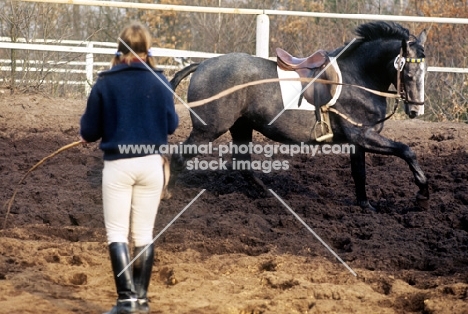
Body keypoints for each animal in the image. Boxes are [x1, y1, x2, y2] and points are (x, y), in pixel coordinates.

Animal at [169, 22, 428, 211]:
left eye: (424, 71)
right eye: (408, 72)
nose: (416, 110)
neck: (357, 78)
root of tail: (203, 65)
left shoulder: (359, 141)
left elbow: (360, 173)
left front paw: (366, 206)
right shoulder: (362, 135)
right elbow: (407, 151)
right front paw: (422, 195)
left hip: (241, 126)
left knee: (243, 164)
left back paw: (266, 194)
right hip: (208, 129)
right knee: (179, 157)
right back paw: (168, 193)